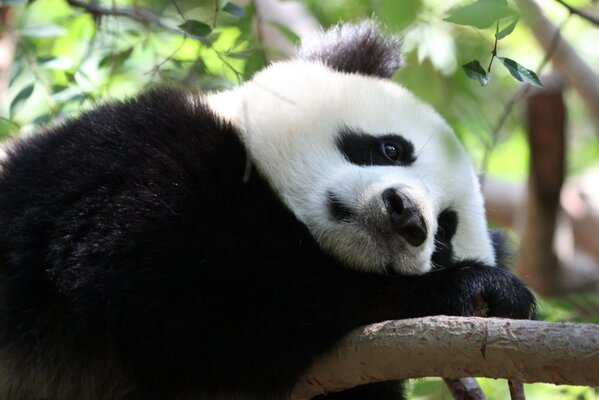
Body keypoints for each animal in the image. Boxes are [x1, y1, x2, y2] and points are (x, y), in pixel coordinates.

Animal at [0, 21, 536, 400]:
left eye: (443, 234)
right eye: (390, 149)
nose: (407, 215)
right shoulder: (127, 158)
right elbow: (180, 283)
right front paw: (472, 289)